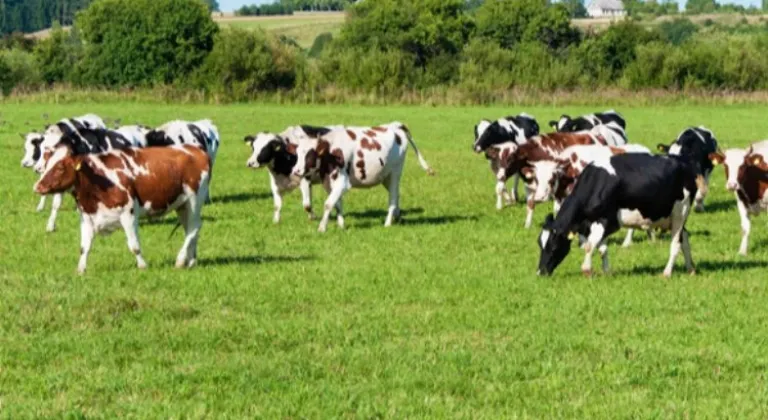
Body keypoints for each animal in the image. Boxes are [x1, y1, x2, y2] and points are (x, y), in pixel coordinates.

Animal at [34, 145, 210, 276]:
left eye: (60, 167)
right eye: (46, 165)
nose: (37, 187)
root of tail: (196, 150)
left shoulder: (128, 214)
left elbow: (134, 245)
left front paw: (142, 266)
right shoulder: (87, 217)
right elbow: (84, 247)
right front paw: (81, 269)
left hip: (195, 200)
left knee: (194, 228)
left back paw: (180, 260)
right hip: (182, 205)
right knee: (190, 230)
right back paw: (191, 261)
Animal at [292, 121, 436, 233]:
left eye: (310, 154)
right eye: (298, 153)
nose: (296, 171)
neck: (331, 151)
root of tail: (396, 125)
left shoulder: (343, 182)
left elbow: (328, 204)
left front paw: (322, 228)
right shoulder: (329, 182)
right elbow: (337, 204)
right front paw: (341, 226)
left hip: (395, 173)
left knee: (393, 197)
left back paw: (387, 223)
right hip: (386, 176)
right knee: (396, 195)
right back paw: (397, 217)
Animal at [536, 153, 700, 278]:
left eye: (554, 247)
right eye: (540, 244)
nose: (540, 272)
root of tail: (684, 163)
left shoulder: (607, 221)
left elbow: (589, 246)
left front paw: (587, 270)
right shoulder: (593, 224)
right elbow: (602, 249)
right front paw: (607, 272)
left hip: (680, 212)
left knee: (676, 243)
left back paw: (666, 273)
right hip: (673, 218)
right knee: (685, 239)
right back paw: (691, 269)